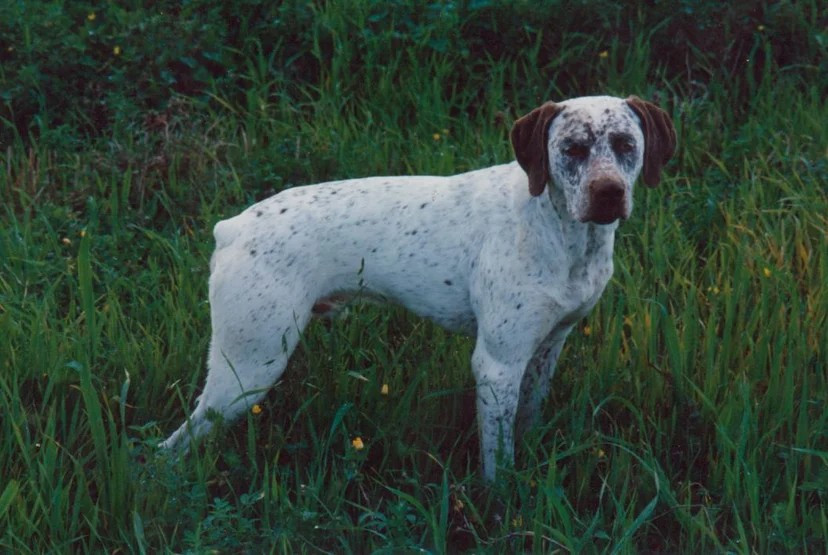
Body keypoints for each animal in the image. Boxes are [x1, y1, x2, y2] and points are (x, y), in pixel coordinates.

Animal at [160, 95, 676, 480]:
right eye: (572, 149)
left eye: (626, 144)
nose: (608, 193)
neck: (557, 230)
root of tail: (233, 228)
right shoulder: (497, 365)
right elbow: (498, 464)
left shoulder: (547, 347)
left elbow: (526, 422)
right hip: (247, 369)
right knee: (170, 448)